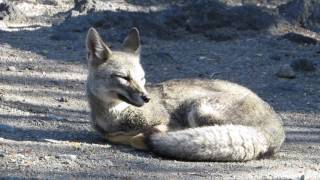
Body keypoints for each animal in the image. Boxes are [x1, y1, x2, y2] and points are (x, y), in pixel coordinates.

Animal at [85, 27, 284, 162]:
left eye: (142, 78)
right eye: (124, 77)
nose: (147, 98)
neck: (115, 116)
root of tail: (274, 129)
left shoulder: (166, 121)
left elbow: (139, 135)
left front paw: (139, 136)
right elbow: (110, 135)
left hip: (198, 107)